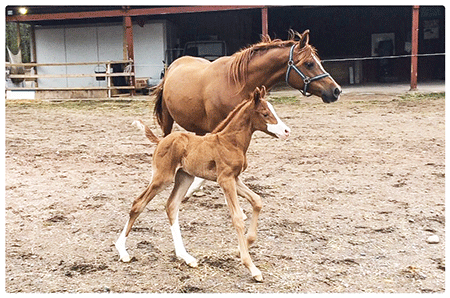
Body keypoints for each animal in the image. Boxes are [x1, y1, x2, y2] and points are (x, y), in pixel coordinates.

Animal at [116, 86, 290, 282]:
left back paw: (186, 257)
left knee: (171, 206)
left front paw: (245, 244)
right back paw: (123, 251)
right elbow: (237, 218)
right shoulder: (225, 180)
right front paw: (252, 267)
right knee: (138, 203)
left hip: (185, 177)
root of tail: (161, 141)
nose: (286, 131)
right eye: (265, 113)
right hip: (163, 177)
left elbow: (257, 201)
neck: (231, 142)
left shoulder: (234, 178)